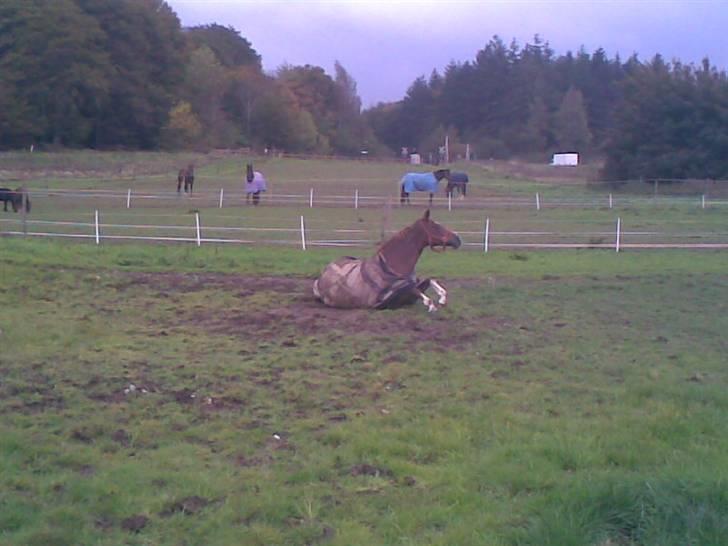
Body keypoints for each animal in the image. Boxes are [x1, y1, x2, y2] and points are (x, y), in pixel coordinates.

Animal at [312, 208, 460, 310]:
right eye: (436, 226)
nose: (458, 239)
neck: (390, 267)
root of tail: (321, 277)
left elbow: (427, 280)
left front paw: (442, 298)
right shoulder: (383, 302)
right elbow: (410, 288)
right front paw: (431, 305)